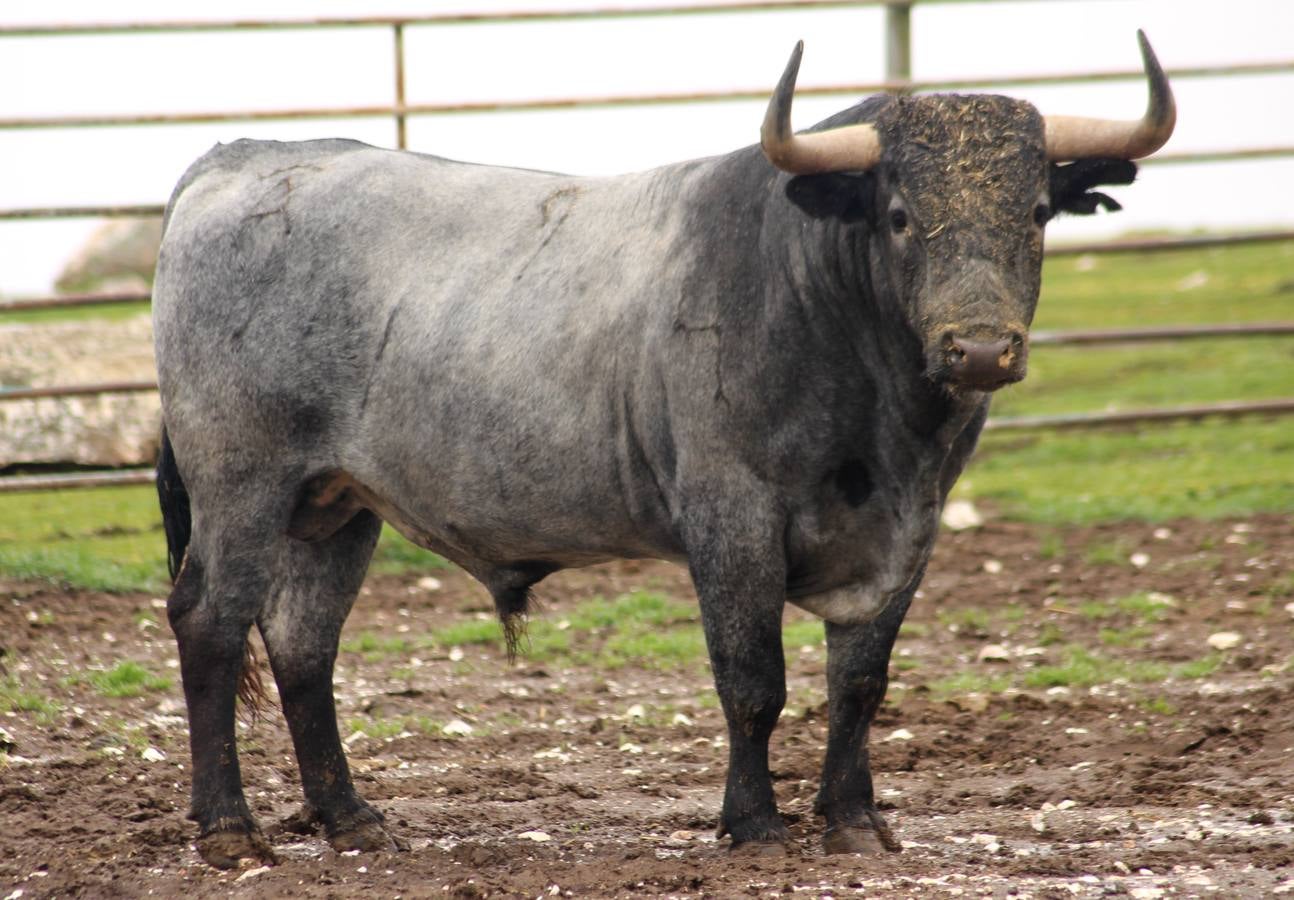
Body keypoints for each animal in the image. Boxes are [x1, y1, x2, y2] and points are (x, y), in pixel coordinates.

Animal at [148, 33, 1174, 863]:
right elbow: (753, 682)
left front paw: (853, 821)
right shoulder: (733, 516)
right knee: (210, 623)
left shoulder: (907, 532)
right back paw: (230, 831)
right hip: (239, 483)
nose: (981, 349)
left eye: (1035, 212)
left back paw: (351, 819)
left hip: (335, 503)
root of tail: (240, 161)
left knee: (302, 643)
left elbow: (860, 684)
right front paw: (754, 825)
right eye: (899, 216)